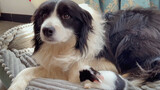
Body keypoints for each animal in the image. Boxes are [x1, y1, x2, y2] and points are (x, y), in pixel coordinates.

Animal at [8, 0, 160, 89]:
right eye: (43, 15)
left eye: (66, 16)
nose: (46, 30)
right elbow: (28, 70)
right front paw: (16, 85)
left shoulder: (107, 63)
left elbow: (75, 72)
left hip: (131, 41)